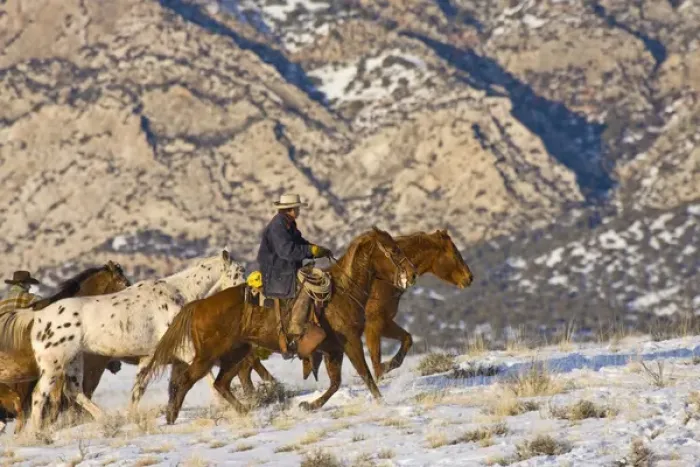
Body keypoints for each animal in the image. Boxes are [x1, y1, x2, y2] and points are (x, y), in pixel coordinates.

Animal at [22, 251, 245, 433]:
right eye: (239, 272)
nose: (247, 291)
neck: (178, 294)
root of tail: (38, 319)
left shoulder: (150, 357)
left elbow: (140, 389)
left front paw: (134, 417)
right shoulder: (184, 351)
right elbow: (205, 374)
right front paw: (225, 404)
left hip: (73, 361)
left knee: (74, 392)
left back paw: (107, 419)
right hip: (54, 365)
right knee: (39, 395)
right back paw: (39, 435)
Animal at [135, 227, 417, 424]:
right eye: (392, 250)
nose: (412, 274)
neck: (342, 291)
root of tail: (198, 304)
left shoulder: (333, 349)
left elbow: (336, 383)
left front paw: (309, 405)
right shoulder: (349, 341)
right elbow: (365, 374)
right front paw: (382, 401)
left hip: (236, 354)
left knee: (220, 384)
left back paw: (244, 411)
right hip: (208, 356)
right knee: (186, 381)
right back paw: (172, 418)